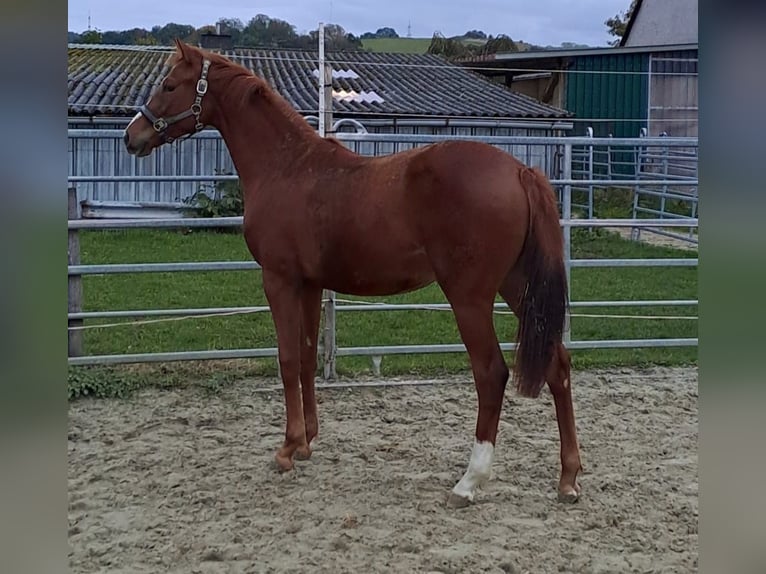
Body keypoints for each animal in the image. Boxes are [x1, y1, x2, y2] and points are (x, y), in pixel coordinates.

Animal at [124, 40, 584, 508]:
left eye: (169, 85)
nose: (131, 136)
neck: (287, 166)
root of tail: (520, 170)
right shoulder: (310, 285)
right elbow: (307, 357)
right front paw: (306, 442)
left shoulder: (279, 280)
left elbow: (287, 359)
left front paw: (286, 449)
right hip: (517, 287)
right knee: (558, 365)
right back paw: (568, 478)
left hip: (469, 297)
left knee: (491, 374)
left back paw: (469, 481)